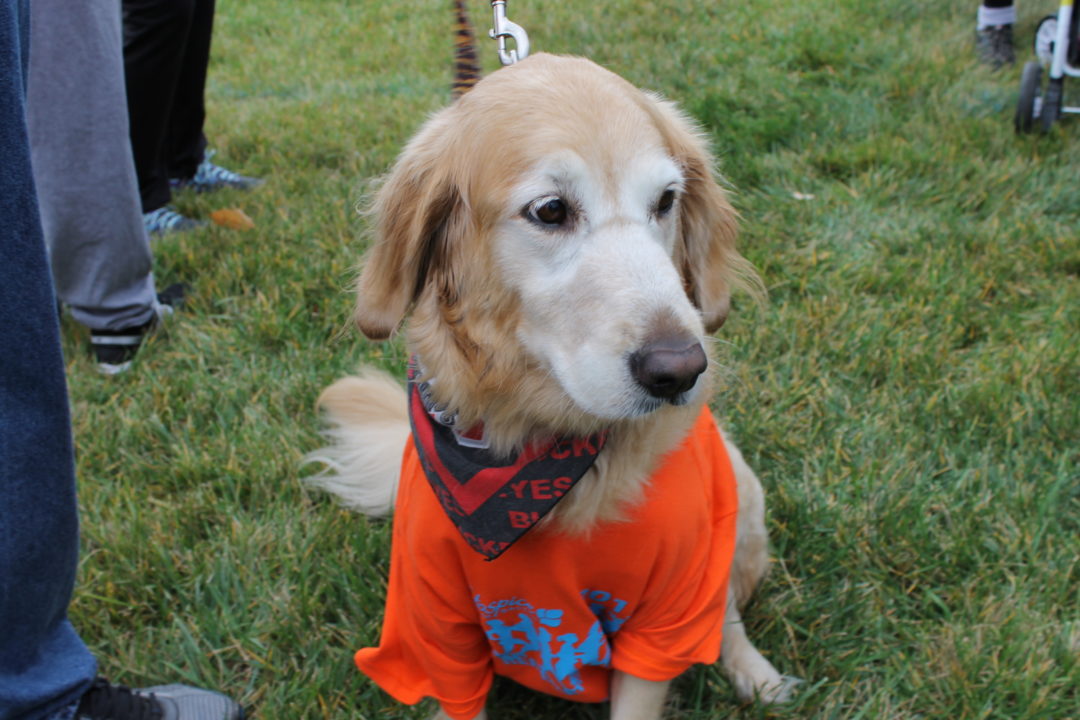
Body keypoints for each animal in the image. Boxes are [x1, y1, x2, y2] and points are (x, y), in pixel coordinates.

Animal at [307, 30, 796, 720]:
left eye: (665, 201)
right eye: (551, 210)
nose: (680, 370)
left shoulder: (663, 619)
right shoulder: (436, 627)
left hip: (740, 500)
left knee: (725, 616)